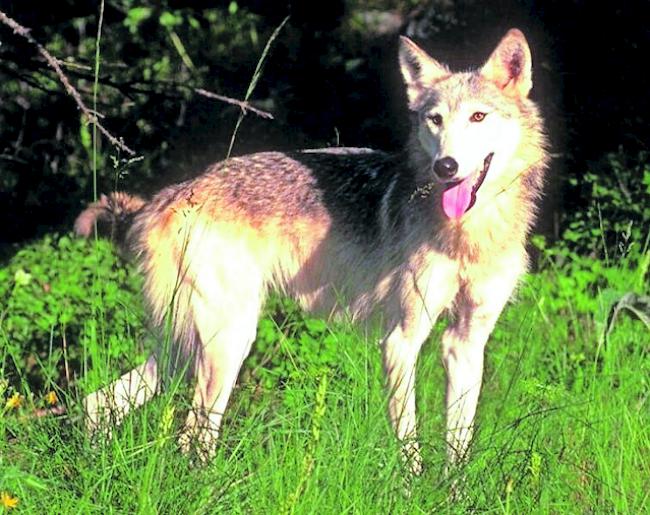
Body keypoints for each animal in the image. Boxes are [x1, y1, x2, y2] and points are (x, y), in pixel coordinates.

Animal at [78, 28, 548, 472]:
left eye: (478, 116)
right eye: (435, 120)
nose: (445, 167)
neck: (472, 233)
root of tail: (171, 194)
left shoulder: (465, 343)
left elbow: (458, 447)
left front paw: (453, 494)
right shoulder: (401, 340)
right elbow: (409, 443)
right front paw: (412, 491)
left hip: (185, 350)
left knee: (98, 403)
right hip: (226, 346)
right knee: (191, 437)